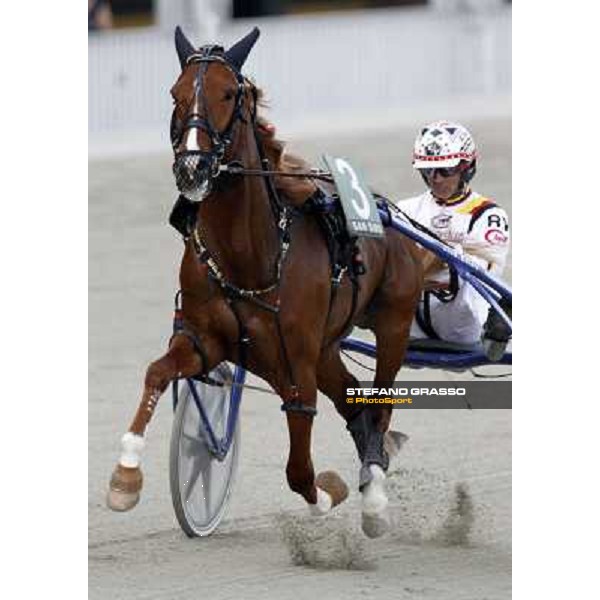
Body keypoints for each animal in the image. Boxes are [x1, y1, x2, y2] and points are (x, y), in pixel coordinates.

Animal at [108, 27, 424, 540]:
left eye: (229, 93)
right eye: (175, 94)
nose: (192, 168)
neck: (250, 254)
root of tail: (387, 211)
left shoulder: (296, 364)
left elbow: (299, 468)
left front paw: (328, 495)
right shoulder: (206, 341)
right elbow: (156, 372)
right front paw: (125, 478)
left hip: (391, 326)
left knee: (378, 405)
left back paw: (374, 500)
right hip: (323, 350)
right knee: (354, 403)